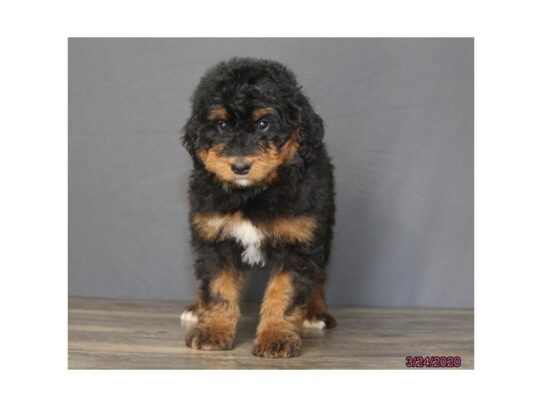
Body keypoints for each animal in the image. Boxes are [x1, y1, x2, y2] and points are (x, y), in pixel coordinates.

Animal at [183, 58, 336, 360]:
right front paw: (213, 332)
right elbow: (218, 289)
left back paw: (315, 311)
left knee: (319, 275)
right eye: (221, 125)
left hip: (323, 230)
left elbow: (284, 294)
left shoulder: (297, 242)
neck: (252, 194)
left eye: (264, 124)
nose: (240, 167)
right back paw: (196, 309)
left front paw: (276, 337)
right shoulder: (215, 238)